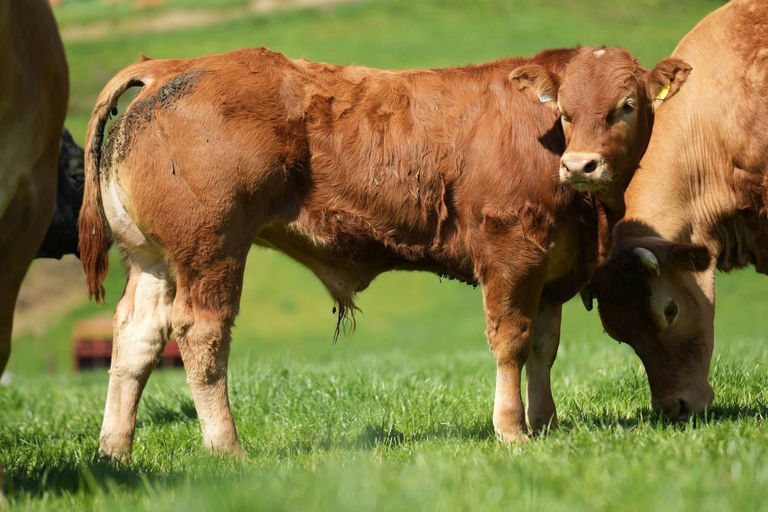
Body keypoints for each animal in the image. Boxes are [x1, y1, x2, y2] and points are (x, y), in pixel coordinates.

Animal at [79, 45, 683, 460]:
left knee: (136, 337)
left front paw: (547, 423)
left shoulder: (550, 268)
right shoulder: (512, 255)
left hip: (154, 261)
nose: (581, 165)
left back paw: (115, 451)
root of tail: (169, 66)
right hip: (212, 250)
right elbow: (512, 342)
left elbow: (544, 347)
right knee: (201, 336)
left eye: (626, 106)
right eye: (565, 111)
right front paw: (512, 429)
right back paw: (226, 447)